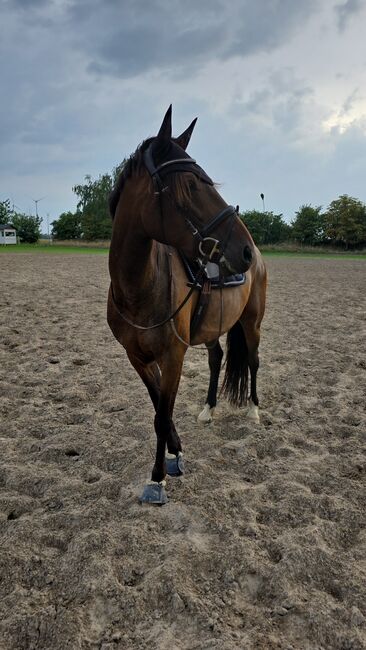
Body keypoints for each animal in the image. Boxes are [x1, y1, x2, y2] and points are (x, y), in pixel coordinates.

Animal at [107, 105, 268, 502]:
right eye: (192, 185)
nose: (243, 250)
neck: (138, 288)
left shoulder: (173, 355)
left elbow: (162, 414)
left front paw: (157, 478)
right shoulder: (137, 357)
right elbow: (158, 408)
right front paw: (175, 453)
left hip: (252, 322)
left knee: (253, 361)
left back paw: (254, 411)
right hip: (213, 327)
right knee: (216, 358)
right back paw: (208, 409)